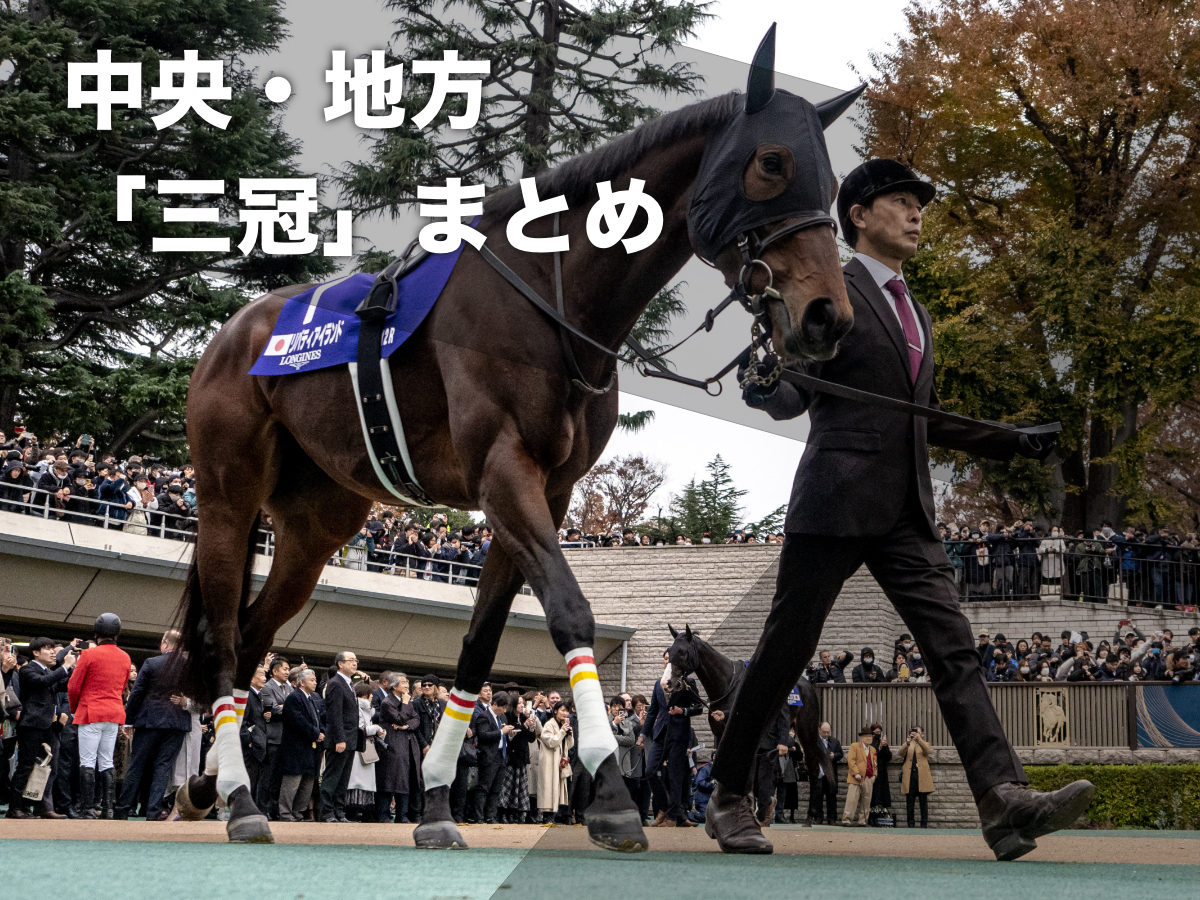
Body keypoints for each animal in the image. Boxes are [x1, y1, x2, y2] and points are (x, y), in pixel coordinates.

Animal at [174, 24, 859, 849]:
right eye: (772, 162)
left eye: (831, 183)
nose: (827, 316)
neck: (548, 294)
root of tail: (230, 336)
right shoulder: (506, 472)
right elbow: (570, 611)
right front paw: (610, 791)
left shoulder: (545, 491)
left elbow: (478, 646)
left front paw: (438, 804)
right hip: (226, 502)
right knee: (221, 636)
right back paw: (243, 799)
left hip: (314, 528)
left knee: (250, 637)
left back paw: (211, 784)